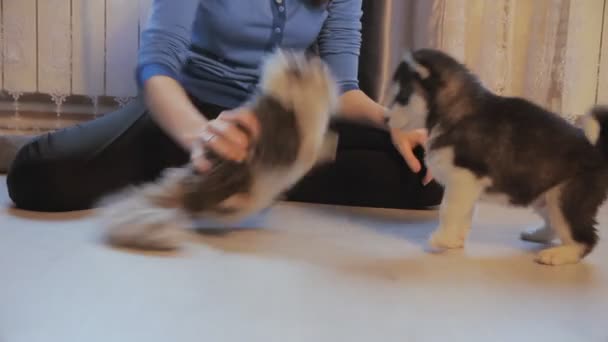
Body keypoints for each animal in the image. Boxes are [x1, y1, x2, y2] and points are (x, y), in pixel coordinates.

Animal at [97, 48, 340, 250]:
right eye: (299, 65)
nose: (303, 63)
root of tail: (180, 183)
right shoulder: (287, 140)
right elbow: (308, 149)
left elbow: (322, 143)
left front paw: (331, 144)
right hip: (235, 174)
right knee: (203, 204)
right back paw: (236, 201)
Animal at [384, 48, 608, 266]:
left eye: (402, 96)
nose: (385, 119)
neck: (457, 110)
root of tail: (597, 151)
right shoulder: (467, 185)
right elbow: (465, 213)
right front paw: (454, 240)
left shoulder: (463, 178)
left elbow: (448, 210)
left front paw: (442, 238)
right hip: (544, 193)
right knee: (555, 224)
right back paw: (537, 235)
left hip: (566, 197)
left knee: (585, 238)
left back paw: (558, 255)